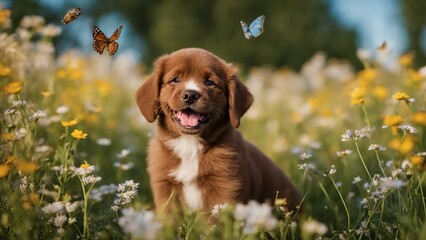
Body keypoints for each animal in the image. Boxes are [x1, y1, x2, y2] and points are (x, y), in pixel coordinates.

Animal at [136, 47, 300, 213]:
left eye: (210, 83)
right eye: (175, 79)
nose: (190, 95)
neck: (189, 144)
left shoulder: (226, 185)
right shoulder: (164, 186)